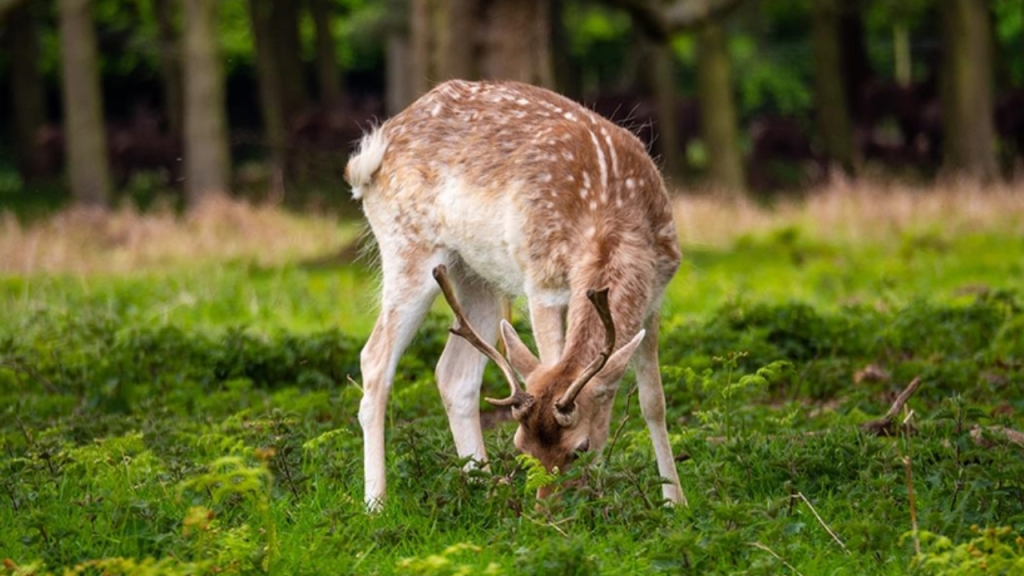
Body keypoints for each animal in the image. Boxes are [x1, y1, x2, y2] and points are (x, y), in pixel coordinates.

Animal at [346, 78, 688, 508]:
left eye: (580, 448)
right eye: (521, 446)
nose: (545, 509)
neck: (609, 215)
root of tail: (368, 157)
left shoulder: (655, 295)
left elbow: (654, 402)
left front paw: (676, 502)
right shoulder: (542, 281)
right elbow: (553, 361)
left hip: (477, 276)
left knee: (453, 373)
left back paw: (484, 487)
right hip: (406, 247)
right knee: (375, 359)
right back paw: (376, 503)